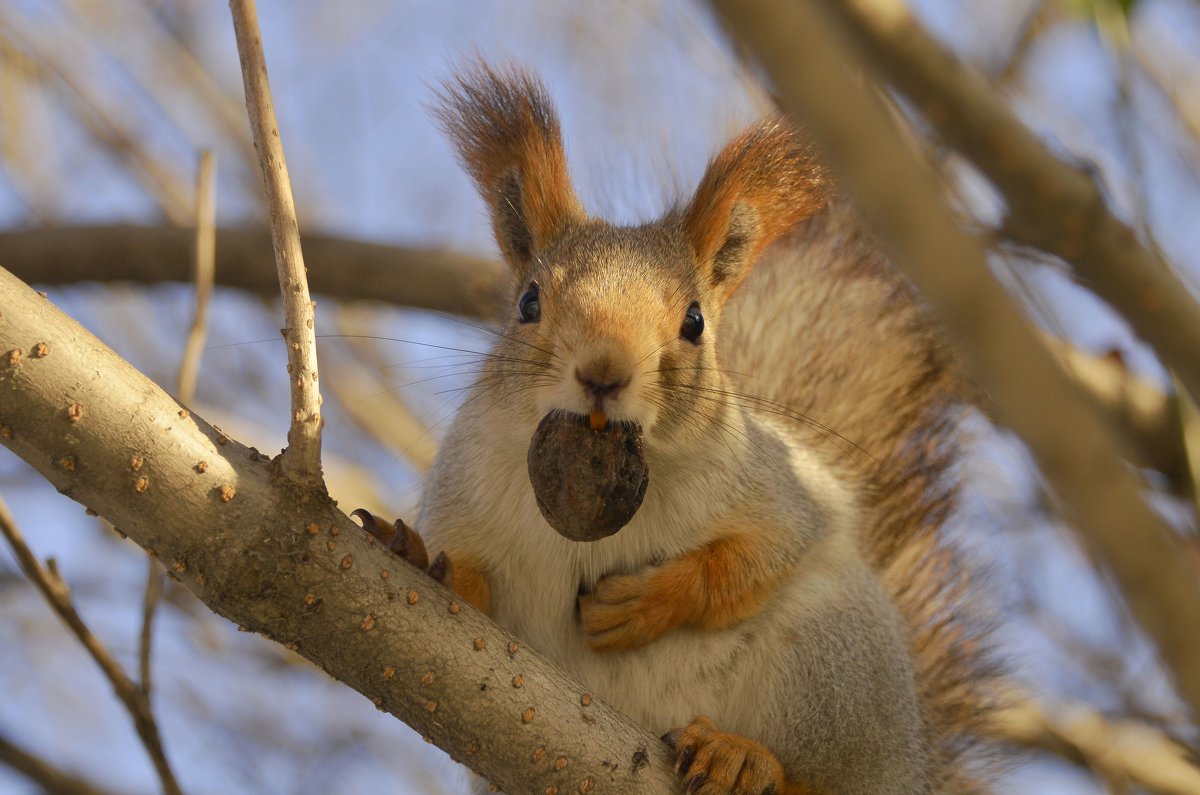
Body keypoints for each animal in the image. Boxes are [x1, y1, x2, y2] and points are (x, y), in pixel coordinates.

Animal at [355, 63, 993, 795]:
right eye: (529, 302)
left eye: (694, 321)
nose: (604, 372)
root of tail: (916, 766)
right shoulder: (467, 498)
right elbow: (472, 591)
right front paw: (417, 557)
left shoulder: (780, 492)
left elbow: (759, 552)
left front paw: (649, 601)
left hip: (834, 663)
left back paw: (744, 758)